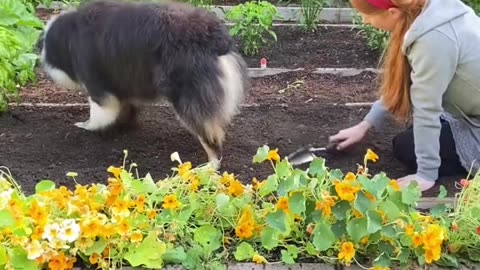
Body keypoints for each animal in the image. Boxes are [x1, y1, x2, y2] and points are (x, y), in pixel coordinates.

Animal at [37, 0, 248, 167]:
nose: (43, 63)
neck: (69, 35)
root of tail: (216, 38)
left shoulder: (96, 80)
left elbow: (99, 110)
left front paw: (87, 126)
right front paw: (124, 124)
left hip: (188, 92)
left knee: (207, 131)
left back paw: (208, 167)